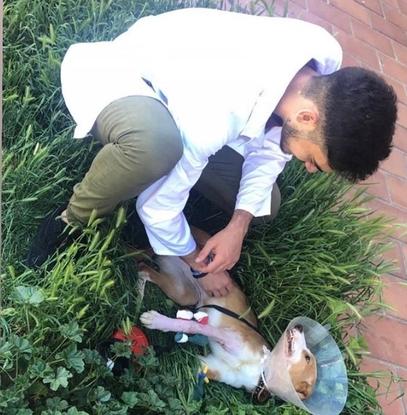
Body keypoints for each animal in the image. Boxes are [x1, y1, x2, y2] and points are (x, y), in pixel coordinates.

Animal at [139, 229, 318, 402]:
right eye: (308, 357)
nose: (300, 326)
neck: (260, 372)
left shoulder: (206, 365)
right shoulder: (226, 336)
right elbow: (190, 325)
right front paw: (157, 321)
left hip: (183, 292)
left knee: (144, 269)